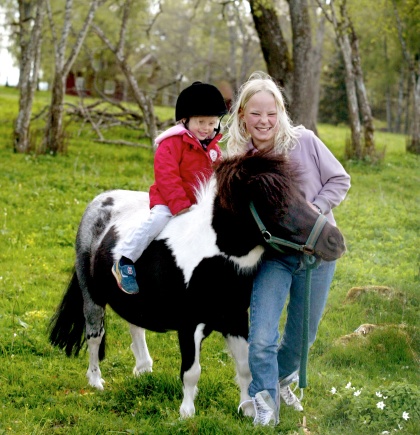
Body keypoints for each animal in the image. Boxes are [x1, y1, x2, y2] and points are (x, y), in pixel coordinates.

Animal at [49, 151, 346, 418]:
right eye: (274, 204)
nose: (336, 242)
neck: (212, 257)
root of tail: (99, 202)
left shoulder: (235, 320)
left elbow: (245, 367)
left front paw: (248, 409)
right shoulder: (189, 325)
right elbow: (192, 372)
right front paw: (187, 413)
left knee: (135, 325)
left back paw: (143, 369)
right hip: (92, 296)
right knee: (94, 334)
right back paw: (95, 381)